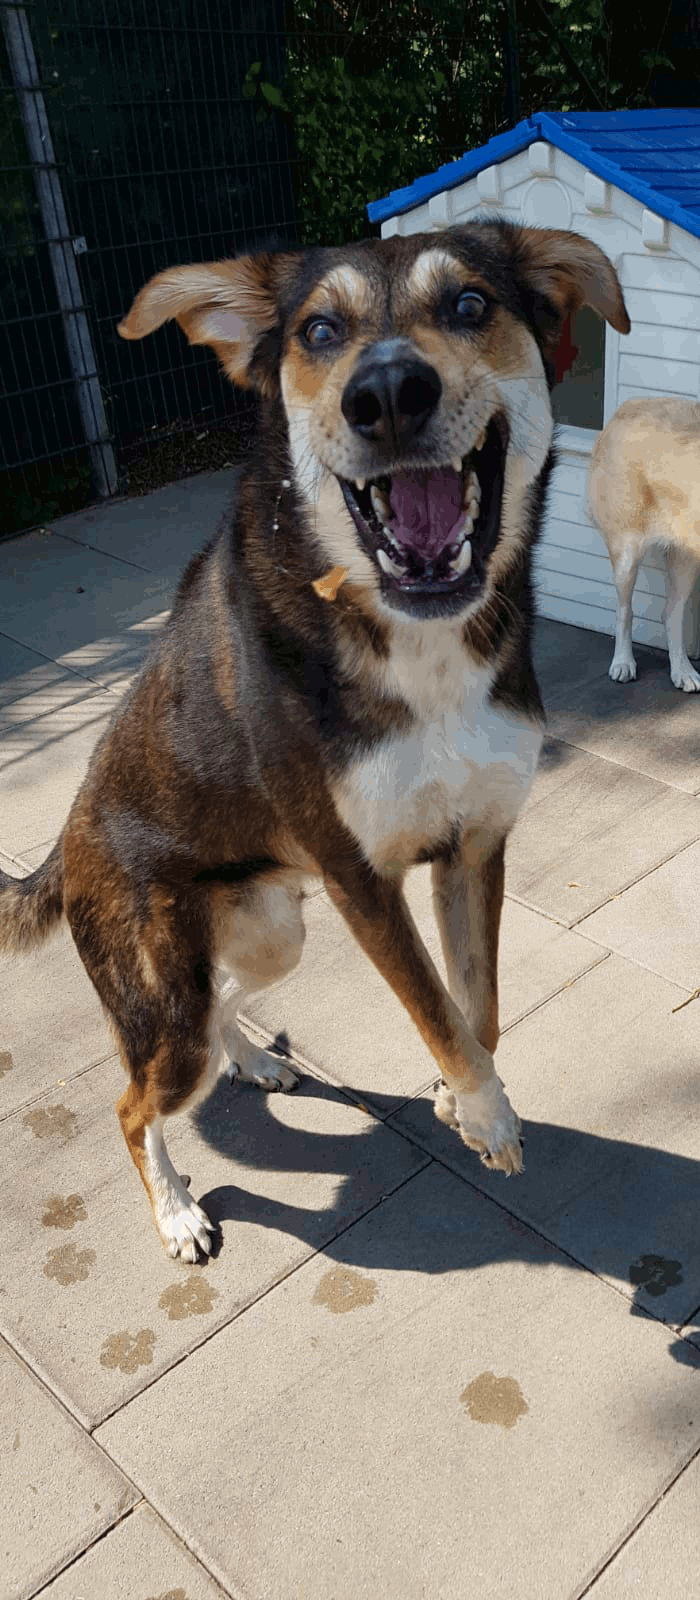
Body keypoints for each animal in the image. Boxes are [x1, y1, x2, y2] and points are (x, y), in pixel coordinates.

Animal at [0, 219, 629, 1254]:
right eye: (321, 331)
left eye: (470, 304)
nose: (388, 396)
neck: (417, 640)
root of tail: (64, 843)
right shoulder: (359, 880)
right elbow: (434, 1003)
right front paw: (486, 1111)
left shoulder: (476, 846)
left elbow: (477, 1006)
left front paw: (464, 1096)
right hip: (173, 992)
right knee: (134, 1102)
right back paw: (177, 1214)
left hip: (271, 930)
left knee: (222, 1004)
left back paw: (254, 1063)